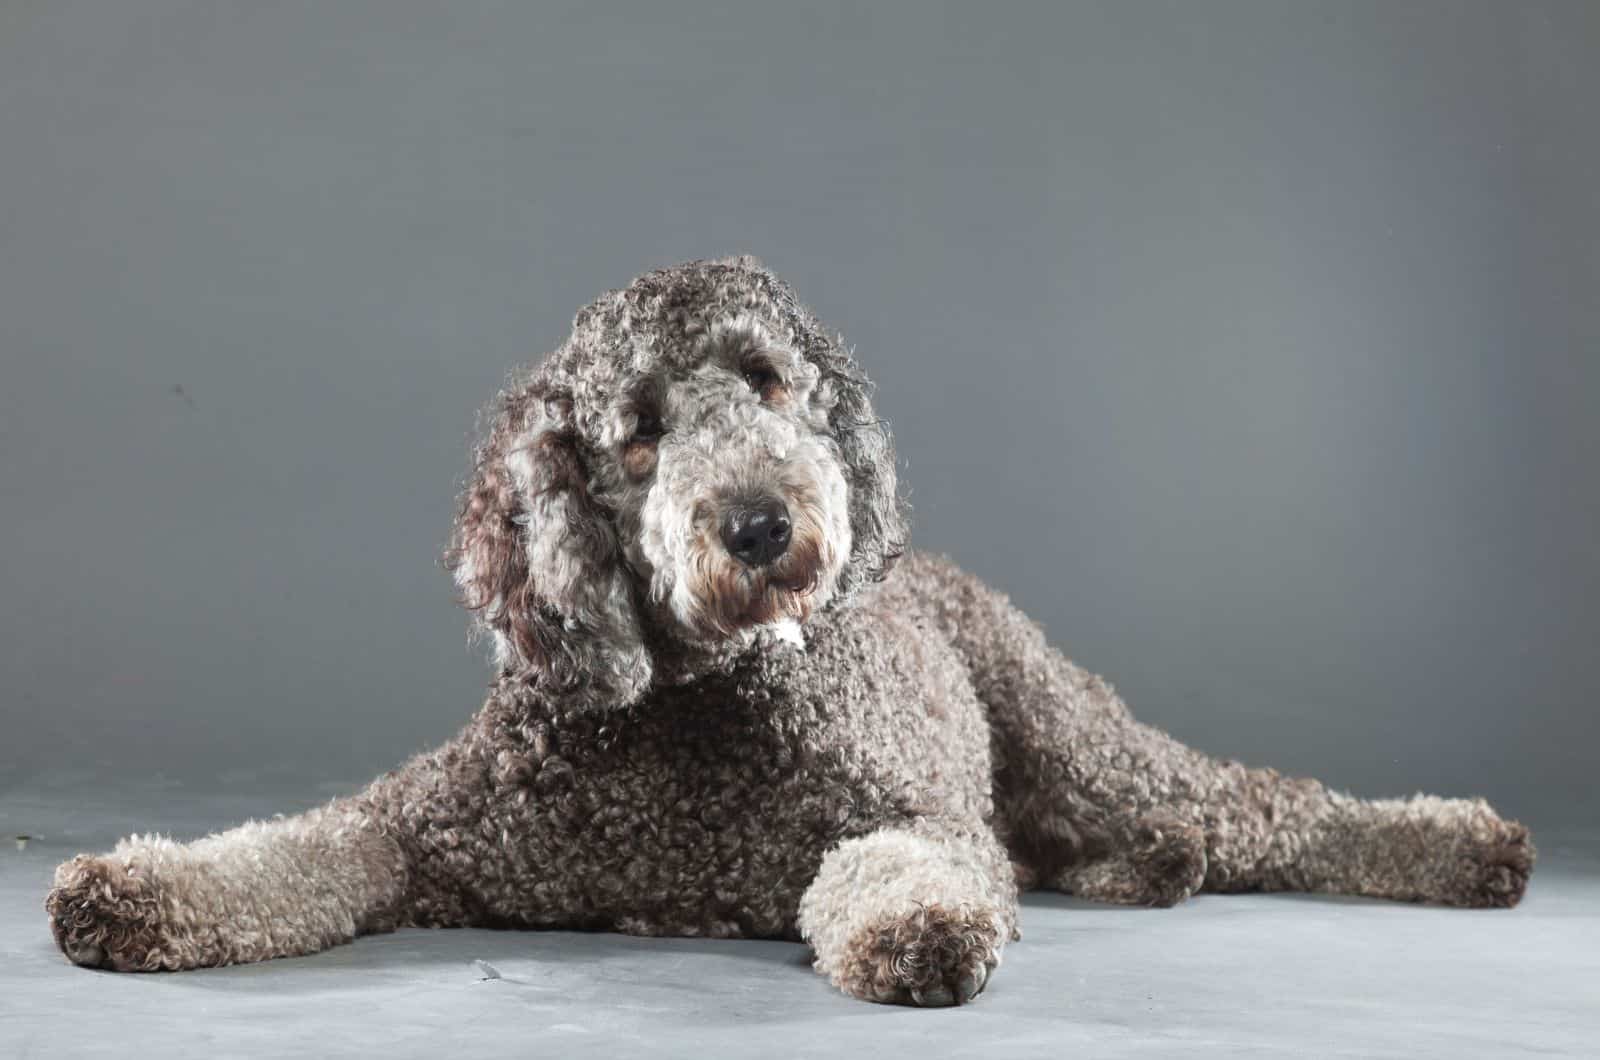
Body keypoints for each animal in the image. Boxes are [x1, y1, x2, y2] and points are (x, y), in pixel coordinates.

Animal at [43, 256, 1529, 1005]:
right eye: (638, 428)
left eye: (767, 381)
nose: (762, 523)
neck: (697, 703)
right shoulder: (423, 824)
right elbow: (289, 849)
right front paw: (137, 889)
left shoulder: (913, 815)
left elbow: (900, 865)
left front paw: (913, 929)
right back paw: (1143, 867)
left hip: (1073, 732)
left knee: (1260, 807)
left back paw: (1458, 844)